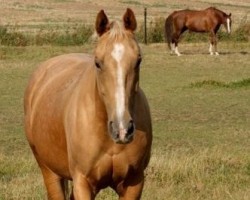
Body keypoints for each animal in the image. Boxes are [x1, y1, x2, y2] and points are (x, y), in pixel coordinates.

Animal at [23, 8, 152, 199]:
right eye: (97, 63)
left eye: (138, 60)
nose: (122, 130)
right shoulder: (82, 182)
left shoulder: (134, 183)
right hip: (49, 171)